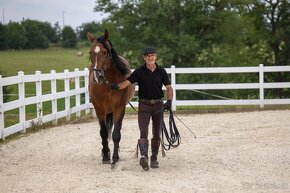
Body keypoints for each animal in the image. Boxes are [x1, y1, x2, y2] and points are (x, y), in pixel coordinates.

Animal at [86, 29, 135, 167]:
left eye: (105, 52)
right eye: (90, 53)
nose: (97, 76)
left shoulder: (119, 108)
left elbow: (116, 134)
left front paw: (115, 158)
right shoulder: (99, 109)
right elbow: (103, 132)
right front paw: (106, 156)